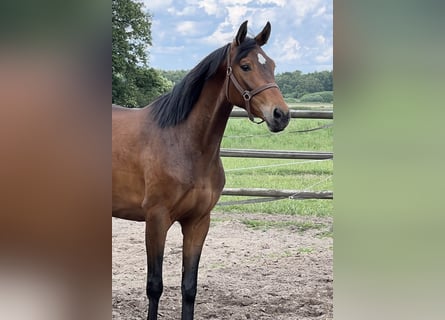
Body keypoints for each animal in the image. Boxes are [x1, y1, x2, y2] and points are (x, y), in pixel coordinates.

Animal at [112, 20, 290, 320]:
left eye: (273, 65)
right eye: (245, 66)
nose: (281, 115)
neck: (182, 142)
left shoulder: (198, 222)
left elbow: (189, 287)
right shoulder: (156, 219)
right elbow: (154, 286)